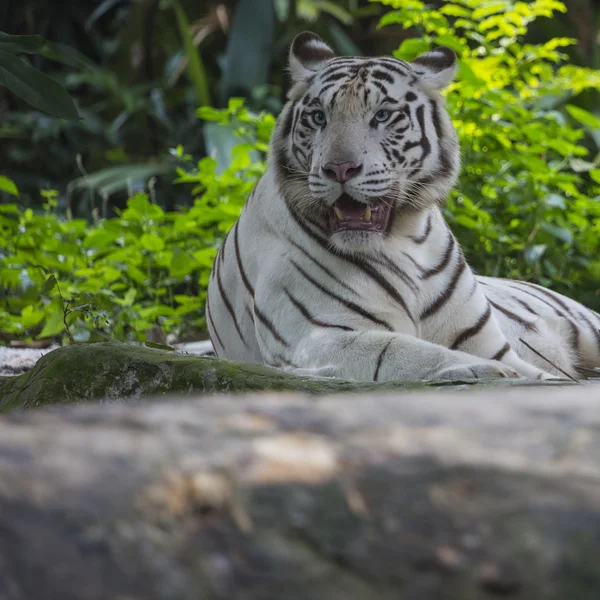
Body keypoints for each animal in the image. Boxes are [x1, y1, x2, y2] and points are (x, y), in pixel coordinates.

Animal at [206, 30, 600, 382]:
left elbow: (535, 372)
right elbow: (403, 350)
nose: (339, 168)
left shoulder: (488, 342)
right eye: (319, 117)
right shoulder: (316, 336)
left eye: (381, 116)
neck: (404, 238)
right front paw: (484, 371)